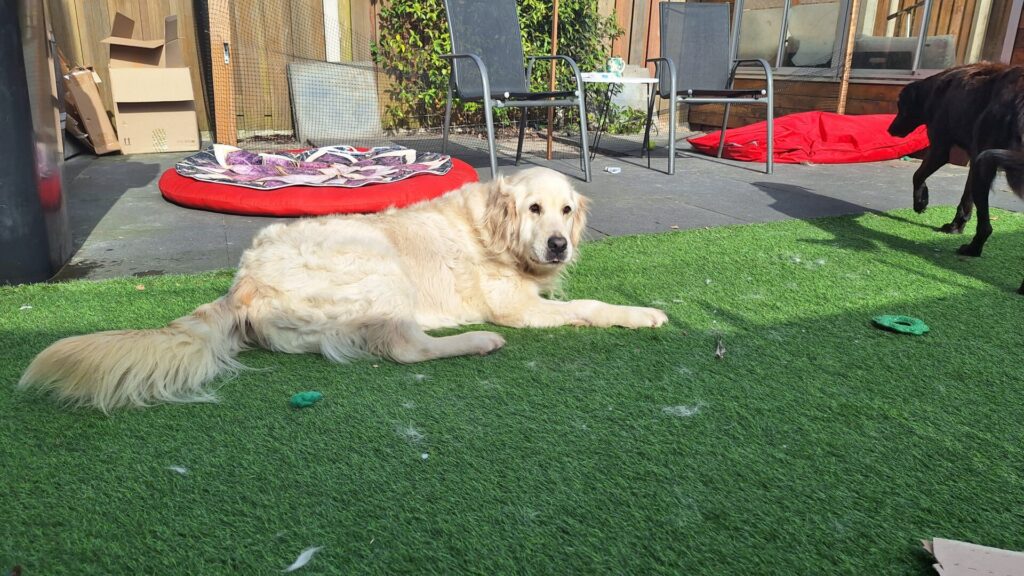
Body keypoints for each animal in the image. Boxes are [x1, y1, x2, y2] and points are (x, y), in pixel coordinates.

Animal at [18, 167, 668, 411]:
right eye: (535, 209)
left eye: (566, 211)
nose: (559, 245)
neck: (492, 229)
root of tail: (243, 280)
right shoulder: (520, 307)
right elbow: (589, 306)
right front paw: (644, 313)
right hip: (378, 263)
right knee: (404, 348)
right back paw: (477, 341)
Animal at [888, 62, 1024, 293]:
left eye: (900, 106)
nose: (890, 130)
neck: (935, 89)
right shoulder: (975, 160)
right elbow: (966, 200)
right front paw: (956, 226)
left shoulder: (941, 147)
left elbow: (917, 174)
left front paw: (921, 202)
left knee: (986, 226)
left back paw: (973, 249)